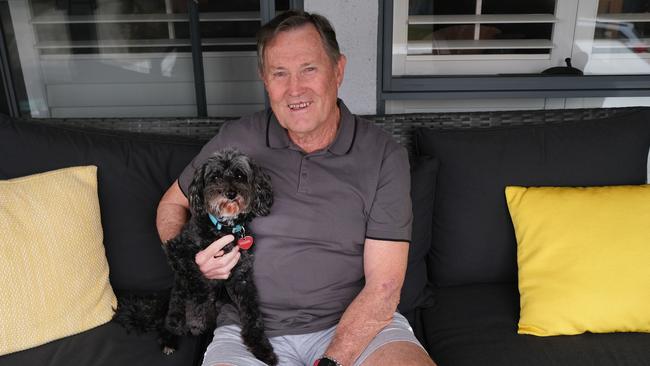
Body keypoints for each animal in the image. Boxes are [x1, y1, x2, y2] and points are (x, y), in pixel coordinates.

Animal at [112, 148, 274, 364]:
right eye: (215, 176)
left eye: (240, 175)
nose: (231, 193)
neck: (222, 229)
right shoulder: (178, 252)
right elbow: (197, 283)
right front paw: (197, 320)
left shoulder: (242, 277)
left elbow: (252, 312)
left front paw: (262, 348)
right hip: (177, 299)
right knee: (170, 321)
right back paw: (169, 339)